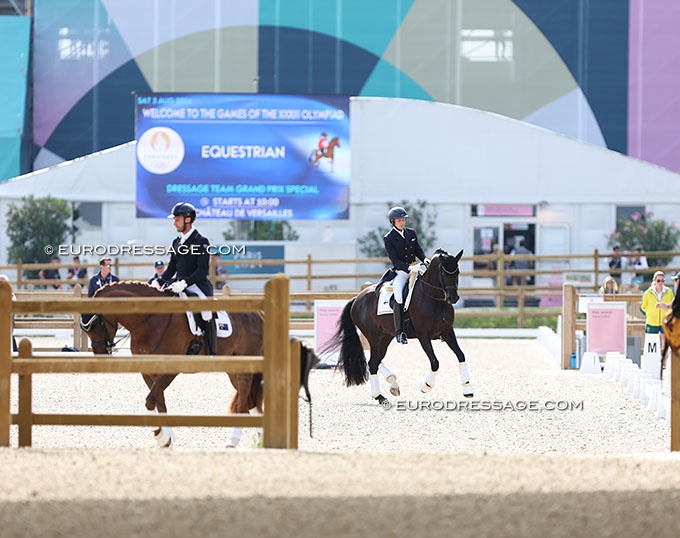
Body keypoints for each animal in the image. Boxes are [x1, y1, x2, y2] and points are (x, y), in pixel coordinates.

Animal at [81, 282, 266, 446]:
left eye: (96, 324)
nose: (100, 355)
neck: (151, 320)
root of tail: (258, 314)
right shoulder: (147, 371)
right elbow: (159, 403)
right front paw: (167, 440)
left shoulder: (170, 369)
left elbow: (151, 401)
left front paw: (160, 437)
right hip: (232, 369)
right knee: (250, 402)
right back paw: (261, 440)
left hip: (244, 368)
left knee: (243, 405)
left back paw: (232, 441)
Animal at [322, 249, 472, 404]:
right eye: (443, 273)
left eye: (457, 272)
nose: (453, 298)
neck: (434, 298)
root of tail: (357, 298)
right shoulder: (423, 335)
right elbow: (435, 362)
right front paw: (426, 386)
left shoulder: (448, 332)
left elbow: (461, 355)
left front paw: (467, 389)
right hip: (374, 337)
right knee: (372, 363)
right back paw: (380, 396)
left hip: (385, 337)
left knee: (375, 362)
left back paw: (388, 389)